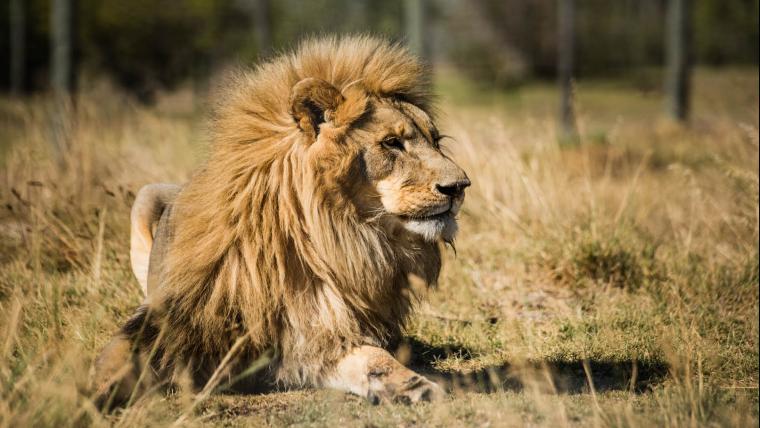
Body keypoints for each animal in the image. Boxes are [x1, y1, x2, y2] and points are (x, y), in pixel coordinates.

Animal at [93, 35, 470, 410]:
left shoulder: (316, 335)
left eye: (436, 141)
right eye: (392, 143)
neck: (331, 237)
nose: (460, 187)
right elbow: (114, 359)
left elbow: (373, 358)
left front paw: (413, 385)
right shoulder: (169, 321)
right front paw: (86, 395)